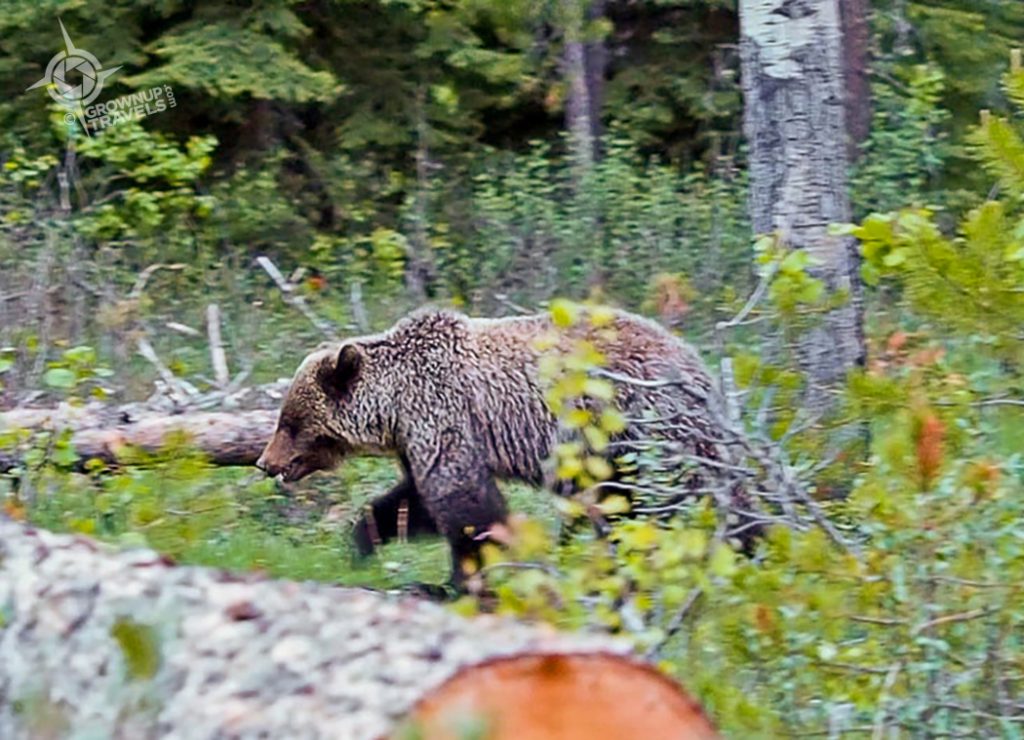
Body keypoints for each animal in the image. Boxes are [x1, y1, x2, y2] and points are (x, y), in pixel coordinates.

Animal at [255, 307, 749, 587]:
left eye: (289, 422)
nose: (264, 462)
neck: (395, 406)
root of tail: (700, 371)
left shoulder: (444, 414)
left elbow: (465, 505)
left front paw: (460, 580)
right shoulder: (421, 437)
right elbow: (414, 501)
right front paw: (363, 541)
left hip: (637, 430)